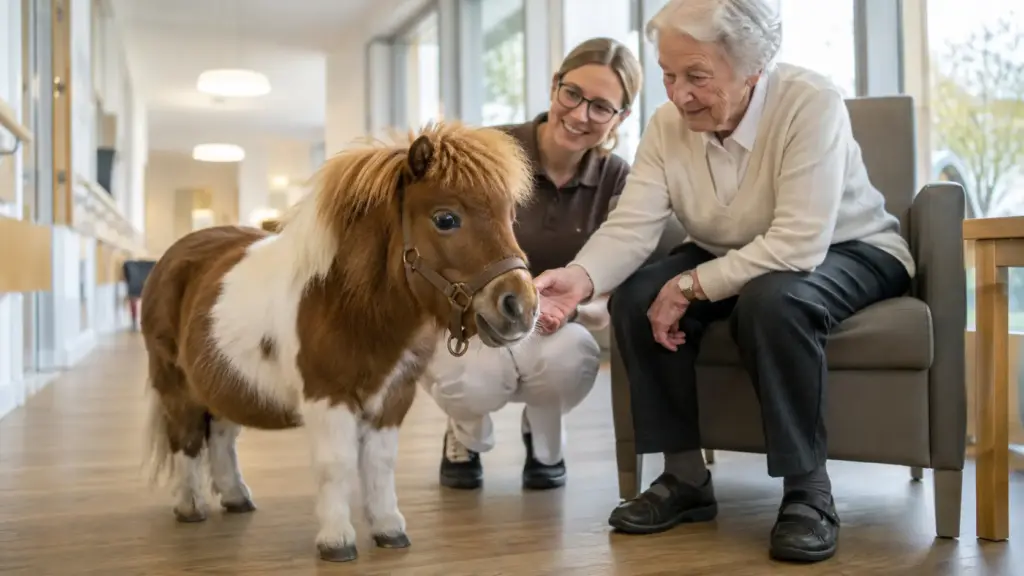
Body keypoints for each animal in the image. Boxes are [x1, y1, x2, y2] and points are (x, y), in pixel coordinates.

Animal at [139, 121, 539, 563]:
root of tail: (174, 256)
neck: (347, 303)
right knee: (187, 439)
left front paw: (389, 529)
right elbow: (337, 464)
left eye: (509, 215)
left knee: (222, 436)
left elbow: (380, 464)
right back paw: (190, 505)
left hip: (224, 382)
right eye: (446, 219)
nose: (521, 306)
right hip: (176, 384)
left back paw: (236, 497)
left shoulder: (394, 398)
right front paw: (336, 540)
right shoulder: (327, 396)